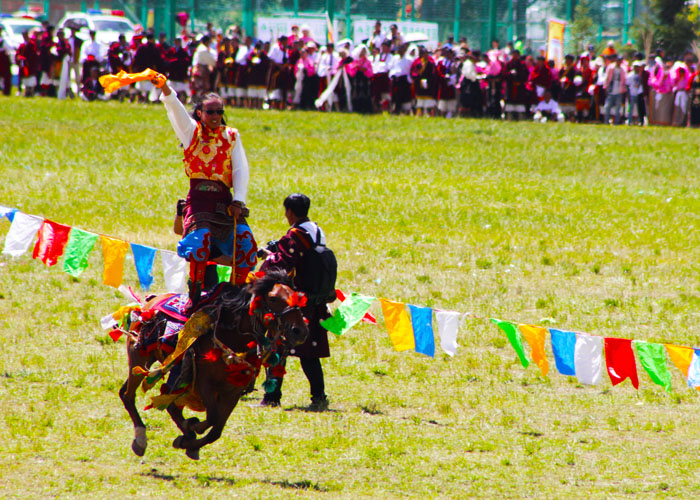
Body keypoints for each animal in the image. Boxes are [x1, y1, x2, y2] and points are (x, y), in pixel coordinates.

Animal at [118, 270, 308, 460]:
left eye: (297, 295)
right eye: (273, 298)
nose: (300, 331)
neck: (232, 338)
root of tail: (150, 301)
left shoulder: (233, 392)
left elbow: (215, 431)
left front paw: (188, 442)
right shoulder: (204, 384)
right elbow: (212, 418)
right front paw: (193, 427)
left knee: (167, 404)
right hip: (139, 357)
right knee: (128, 395)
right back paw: (141, 439)